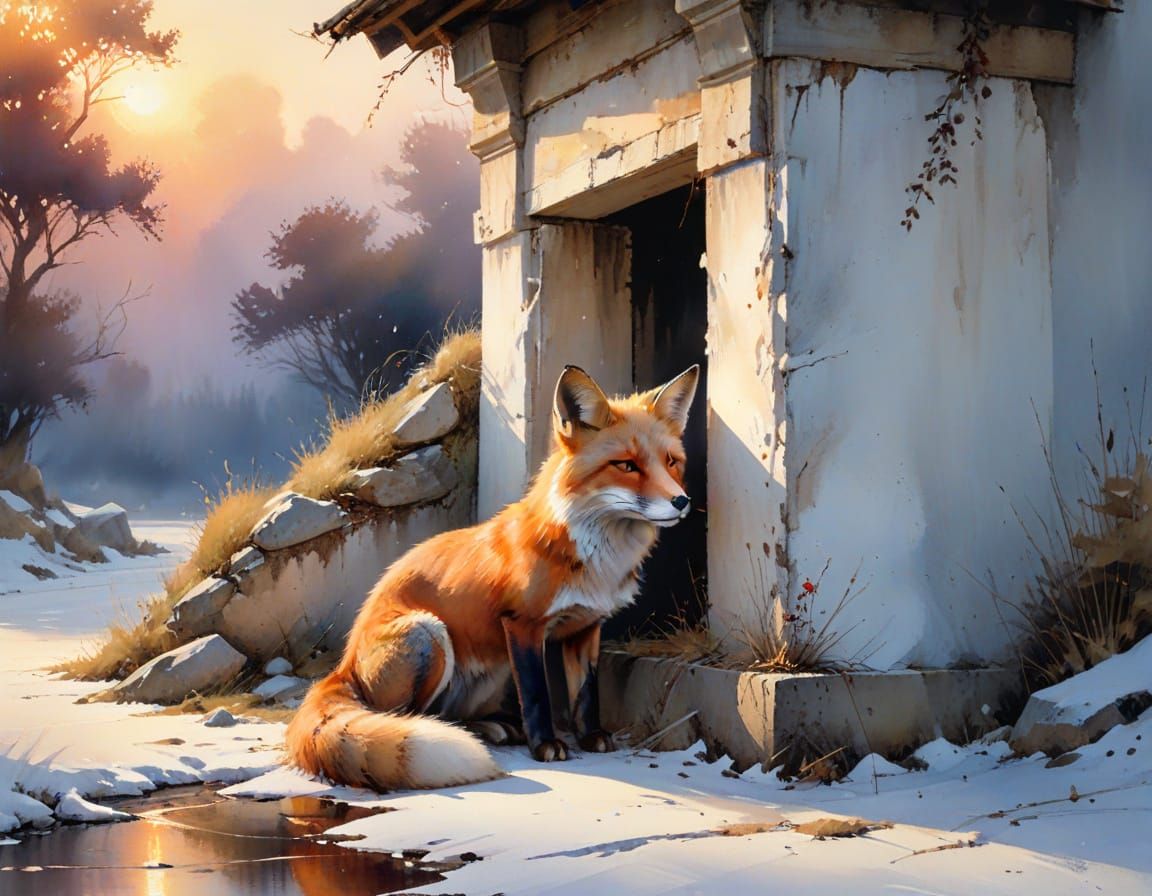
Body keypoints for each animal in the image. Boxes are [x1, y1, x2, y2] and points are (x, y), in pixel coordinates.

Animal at [285, 363, 700, 791]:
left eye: (671, 462)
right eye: (626, 465)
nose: (682, 501)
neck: (594, 560)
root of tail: (343, 664)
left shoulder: (586, 626)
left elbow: (586, 693)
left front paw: (591, 737)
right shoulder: (522, 625)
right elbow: (537, 693)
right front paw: (546, 745)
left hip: (489, 672)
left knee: (448, 715)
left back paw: (491, 728)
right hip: (429, 635)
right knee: (407, 717)